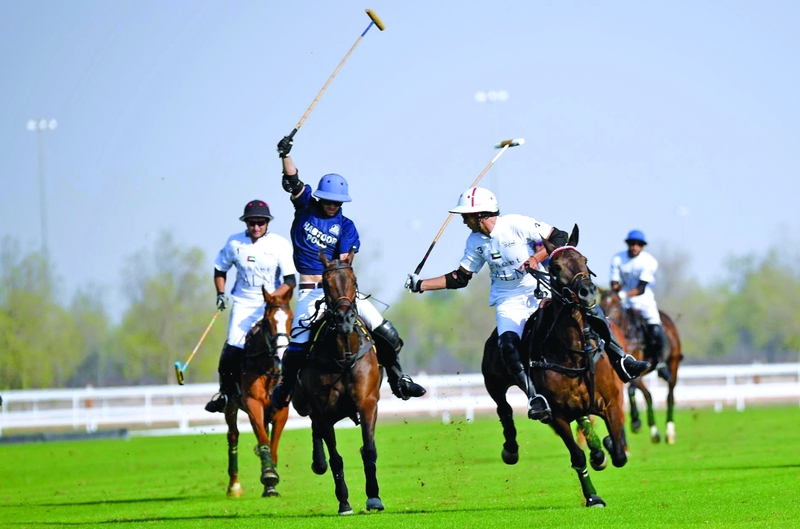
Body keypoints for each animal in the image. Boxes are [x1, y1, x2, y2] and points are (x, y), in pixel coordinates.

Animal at [223, 284, 292, 496]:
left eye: (291, 319)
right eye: (268, 322)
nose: (282, 354)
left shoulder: (281, 410)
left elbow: (273, 444)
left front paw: (271, 483)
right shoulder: (253, 403)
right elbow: (264, 441)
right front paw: (269, 476)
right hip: (231, 405)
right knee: (233, 435)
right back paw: (234, 486)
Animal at [290, 251, 384, 516]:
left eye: (353, 280)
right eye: (326, 283)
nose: (344, 319)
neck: (344, 354)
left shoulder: (368, 403)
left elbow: (369, 449)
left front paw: (374, 497)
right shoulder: (324, 413)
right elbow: (336, 458)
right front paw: (344, 502)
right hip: (305, 405)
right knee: (315, 429)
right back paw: (318, 462)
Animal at [484, 225, 628, 506]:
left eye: (584, 260)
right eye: (556, 267)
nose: (588, 292)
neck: (575, 353)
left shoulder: (612, 402)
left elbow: (618, 453)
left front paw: (603, 447)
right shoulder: (557, 414)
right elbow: (577, 456)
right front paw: (592, 497)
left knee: (584, 418)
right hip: (494, 381)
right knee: (504, 409)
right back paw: (510, 449)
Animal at [600, 288, 680, 446]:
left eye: (616, 305)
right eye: (600, 303)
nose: (606, 323)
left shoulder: (637, 369)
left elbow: (631, 390)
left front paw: (636, 421)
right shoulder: (631, 371)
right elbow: (636, 392)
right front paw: (637, 422)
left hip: (673, 365)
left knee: (670, 395)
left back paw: (669, 432)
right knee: (648, 395)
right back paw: (655, 432)